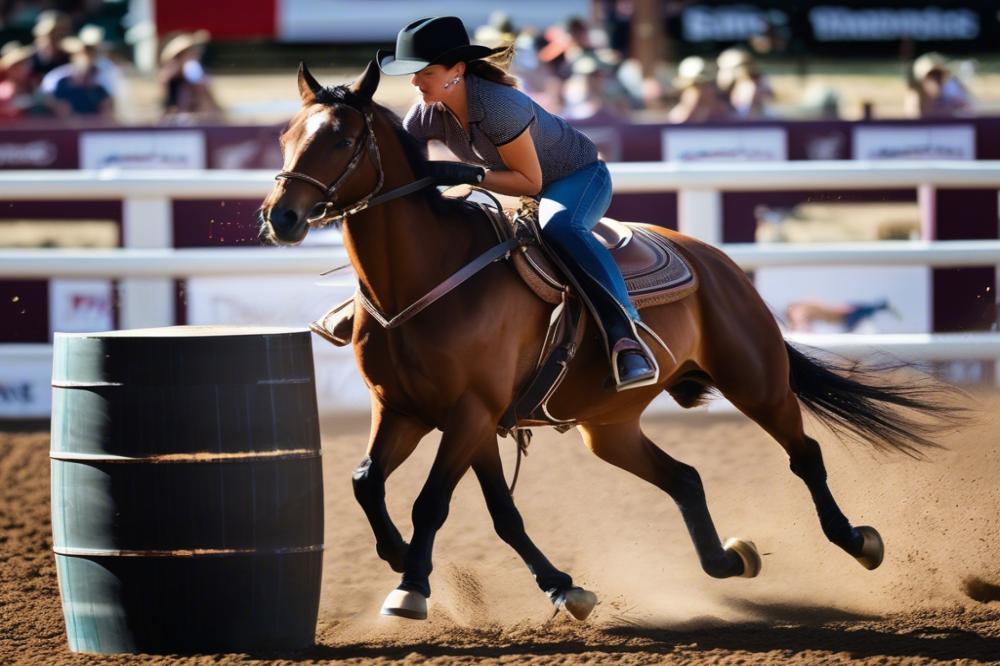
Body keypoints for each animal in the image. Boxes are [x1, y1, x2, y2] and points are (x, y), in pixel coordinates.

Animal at [260, 65, 960, 620]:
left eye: (341, 137)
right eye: (287, 135)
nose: (280, 217)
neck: (428, 276)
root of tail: (717, 262)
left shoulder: (470, 413)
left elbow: (433, 502)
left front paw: (411, 587)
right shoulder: (410, 410)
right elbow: (384, 486)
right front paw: (548, 585)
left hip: (755, 380)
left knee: (804, 453)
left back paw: (856, 540)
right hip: (609, 426)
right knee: (685, 478)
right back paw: (728, 561)